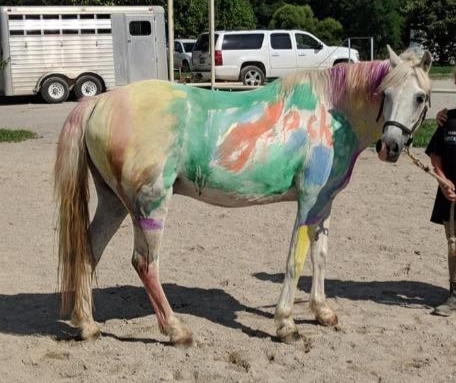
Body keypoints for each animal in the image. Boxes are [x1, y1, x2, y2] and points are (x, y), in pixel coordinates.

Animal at [53, 46, 432, 346]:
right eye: (386, 93)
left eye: (419, 97)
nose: (390, 147)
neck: (330, 114)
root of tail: (98, 101)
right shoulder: (308, 201)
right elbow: (295, 260)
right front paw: (286, 324)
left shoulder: (324, 204)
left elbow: (320, 256)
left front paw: (323, 312)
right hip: (150, 205)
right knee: (145, 264)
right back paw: (176, 331)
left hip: (113, 203)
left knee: (88, 253)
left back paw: (87, 326)